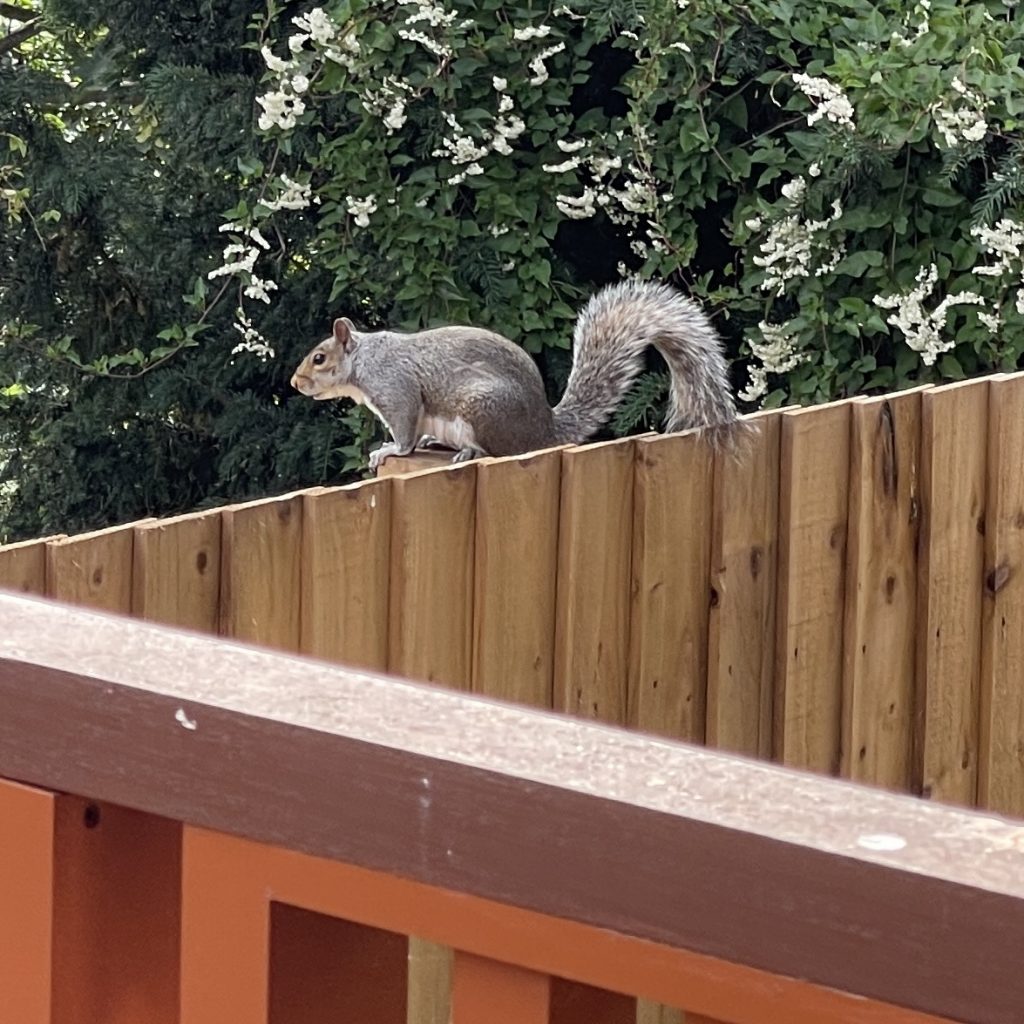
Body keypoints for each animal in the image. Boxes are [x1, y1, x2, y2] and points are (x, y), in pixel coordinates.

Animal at [292, 280, 749, 471]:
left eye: (319, 358)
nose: (295, 383)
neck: (365, 360)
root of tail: (543, 430)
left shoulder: (396, 390)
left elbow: (405, 432)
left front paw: (389, 451)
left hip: (483, 409)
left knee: (499, 452)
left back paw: (469, 452)